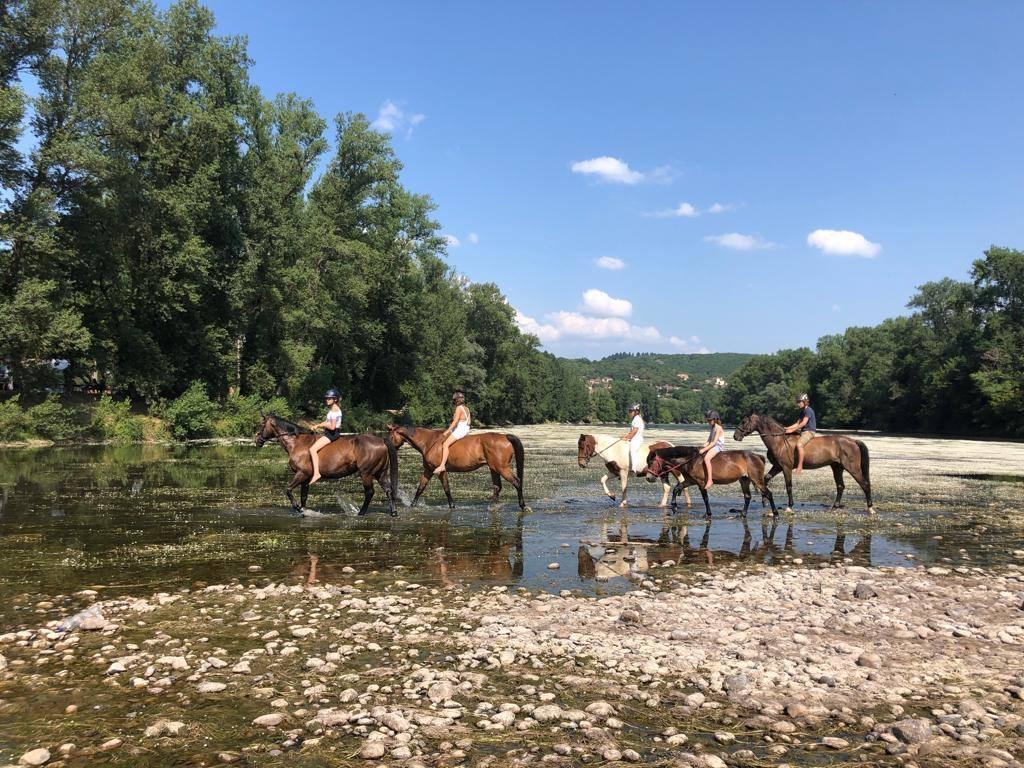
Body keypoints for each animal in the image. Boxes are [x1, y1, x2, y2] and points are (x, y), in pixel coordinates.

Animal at [253, 415, 397, 518]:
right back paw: (393, 512)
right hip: (380, 473)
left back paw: (360, 513)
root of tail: (381, 440)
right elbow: (304, 496)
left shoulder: (302, 474)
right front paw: (303, 511)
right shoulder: (306, 478)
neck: (296, 443)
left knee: (370, 492)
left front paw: (298, 508)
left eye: (262, 424)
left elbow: (288, 490)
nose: (257, 440)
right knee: (388, 490)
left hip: (366, 473)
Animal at [385, 428, 524, 512]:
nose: (389, 448)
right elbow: (420, 488)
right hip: (493, 468)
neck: (429, 442)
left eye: (391, 436)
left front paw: (452, 506)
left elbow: (447, 489)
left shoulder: (441, 471)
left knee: (517, 482)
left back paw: (522, 506)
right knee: (497, 487)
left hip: (502, 468)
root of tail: (505, 437)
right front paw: (412, 505)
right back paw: (492, 507)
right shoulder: (428, 470)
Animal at [643, 448, 778, 520]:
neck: (690, 460)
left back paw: (775, 514)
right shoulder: (690, 481)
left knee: (769, 494)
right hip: (744, 480)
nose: (648, 477)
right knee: (747, 497)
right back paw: (743, 514)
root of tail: (758, 456)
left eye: (651, 462)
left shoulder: (701, 482)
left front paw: (708, 514)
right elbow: (677, 488)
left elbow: (705, 498)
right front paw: (674, 506)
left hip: (757, 480)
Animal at [733, 411, 876, 514]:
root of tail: (853, 441)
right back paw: (834, 507)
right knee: (840, 486)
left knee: (865, 484)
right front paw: (764, 500)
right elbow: (766, 478)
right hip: (837, 467)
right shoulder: (777, 466)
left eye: (744, 421)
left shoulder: (786, 467)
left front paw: (789, 507)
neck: (779, 441)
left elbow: (789, 486)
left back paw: (870, 508)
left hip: (852, 468)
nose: (735, 436)